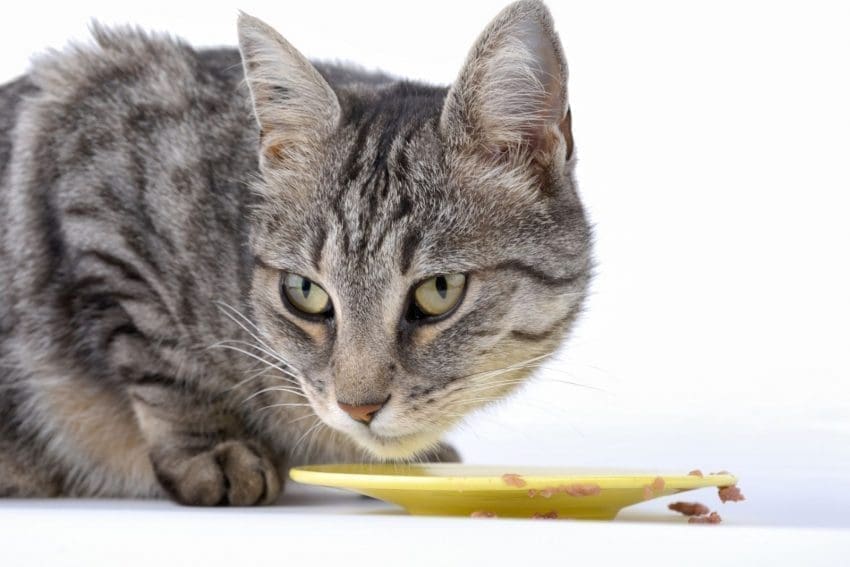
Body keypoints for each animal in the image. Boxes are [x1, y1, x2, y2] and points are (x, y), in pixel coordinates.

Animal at [0, 0, 588, 506]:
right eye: (305, 292)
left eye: (439, 291)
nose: (359, 407)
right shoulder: (93, 192)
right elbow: (160, 354)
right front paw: (212, 447)